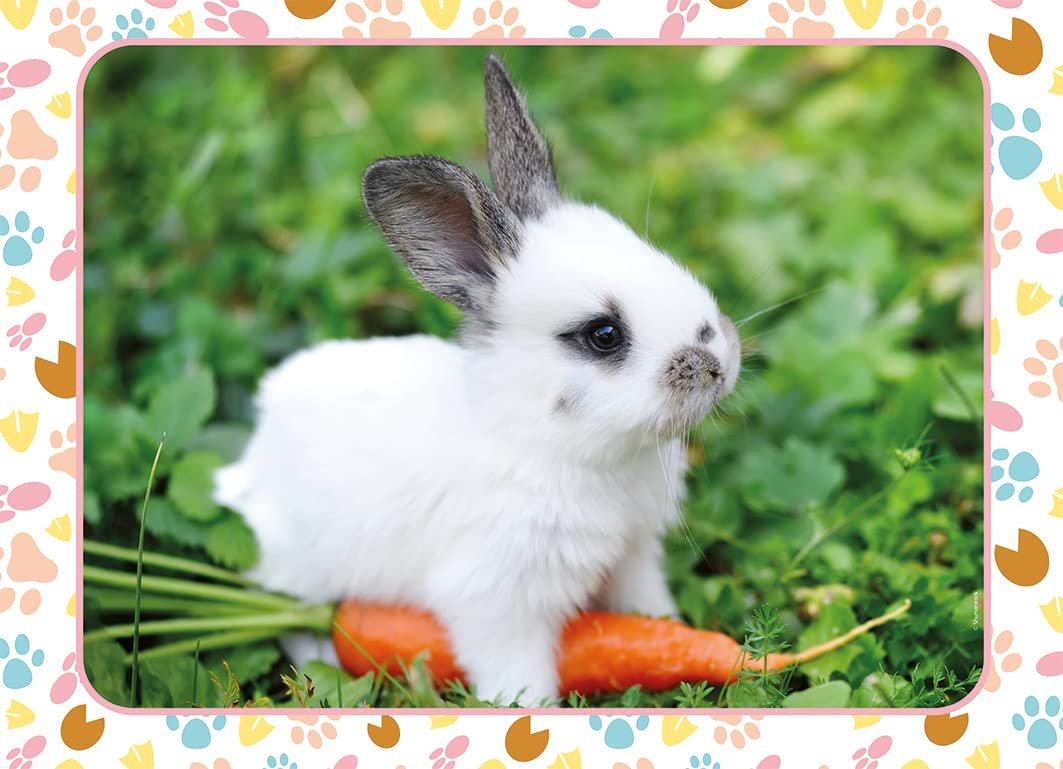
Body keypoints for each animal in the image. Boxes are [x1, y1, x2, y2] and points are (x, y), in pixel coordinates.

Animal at [213, 54, 741, 706]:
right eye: (604, 334)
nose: (720, 362)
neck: (551, 445)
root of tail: (253, 462)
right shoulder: (497, 600)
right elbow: (517, 672)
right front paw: (531, 709)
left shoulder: (632, 557)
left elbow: (645, 611)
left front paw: (671, 632)